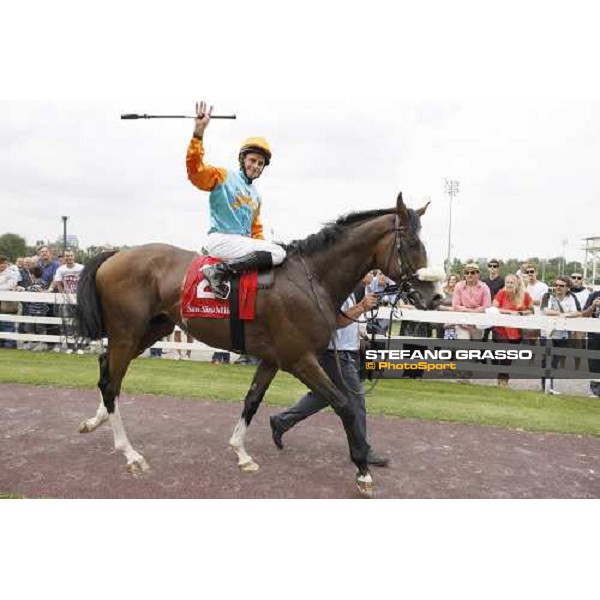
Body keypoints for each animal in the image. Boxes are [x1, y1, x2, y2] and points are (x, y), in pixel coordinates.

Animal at [77, 193, 438, 496]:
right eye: (410, 242)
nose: (434, 296)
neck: (311, 278)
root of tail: (117, 254)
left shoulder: (272, 359)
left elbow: (252, 399)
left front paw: (241, 452)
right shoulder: (300, 359)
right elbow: (343, 404)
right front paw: (362, 470)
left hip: (150, 330)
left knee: (108, 372)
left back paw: (96, 421)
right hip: (128, 333)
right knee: (111, 382)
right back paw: (130, 453)